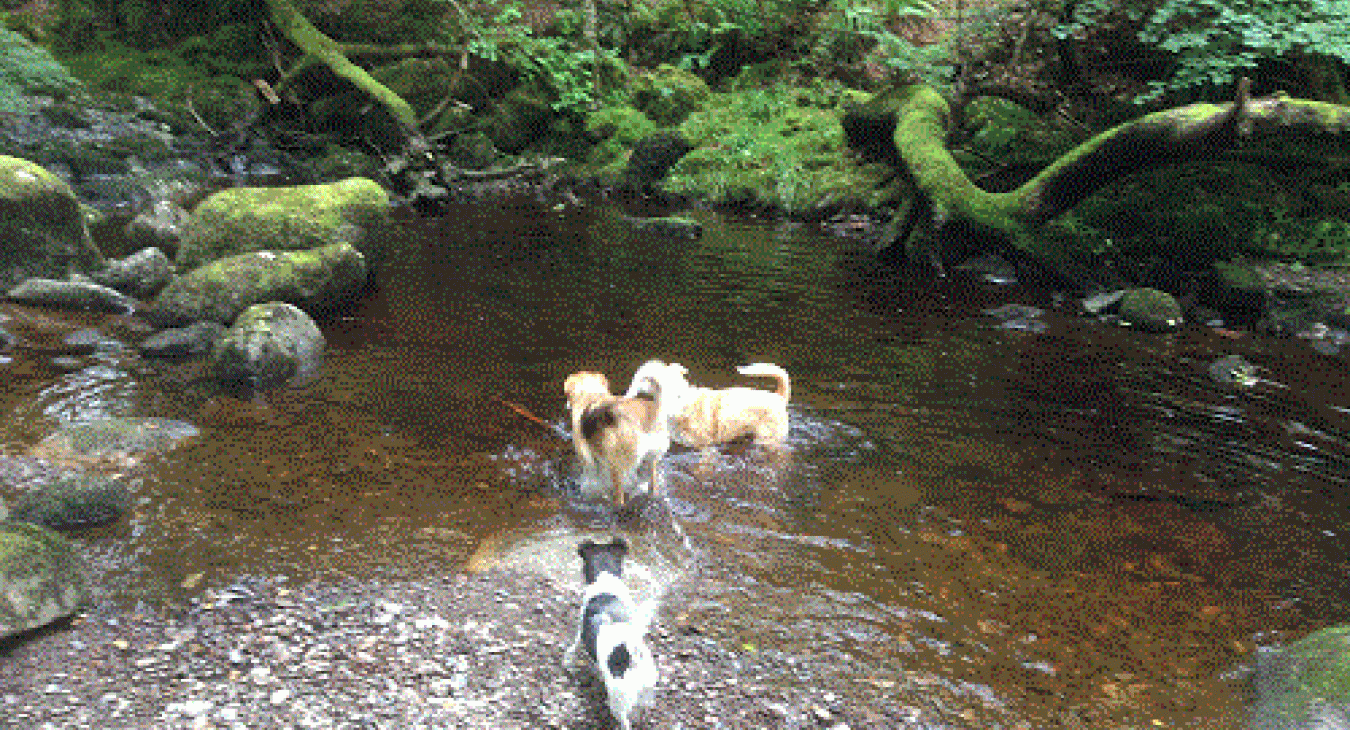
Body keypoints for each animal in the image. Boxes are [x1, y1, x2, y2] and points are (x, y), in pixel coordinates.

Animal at [564, 534, 658, 728]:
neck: (605, 579)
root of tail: (633, 657)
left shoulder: (579, 633)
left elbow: (572, 649)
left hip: (618, 701)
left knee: (624, 721)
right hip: (647, 693)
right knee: (644, 709)